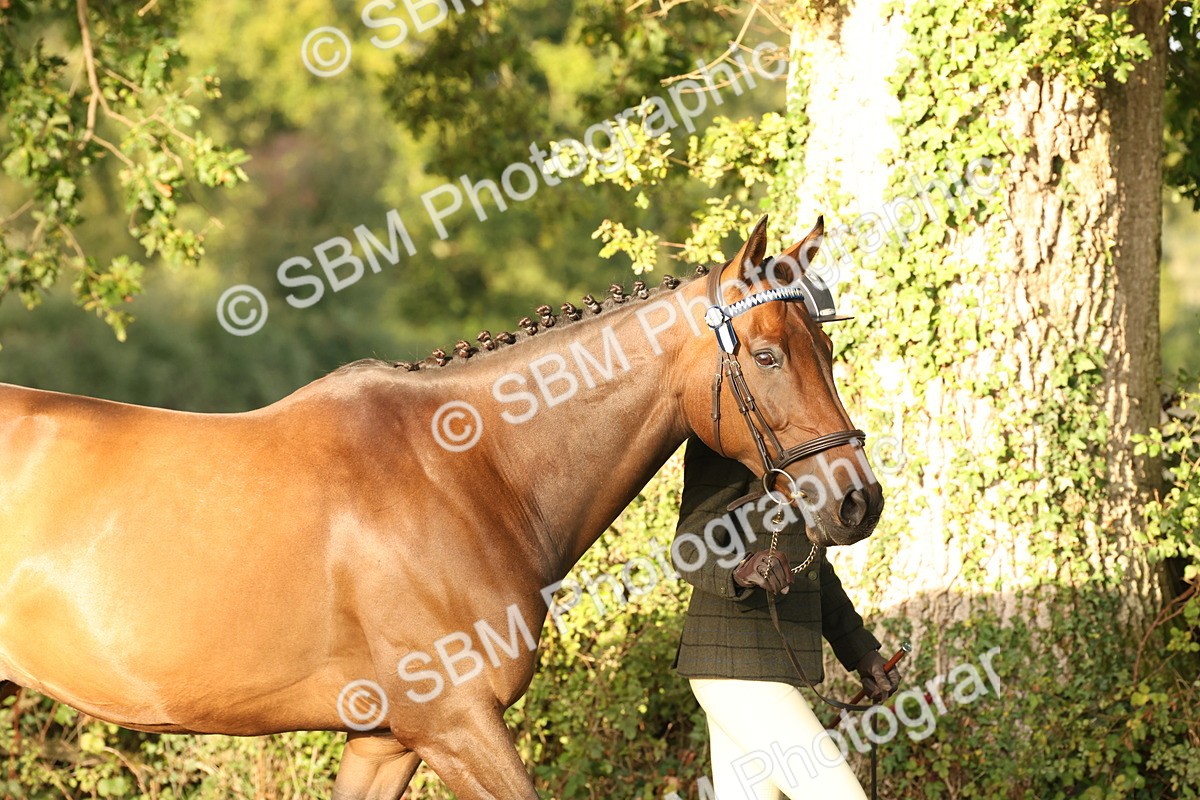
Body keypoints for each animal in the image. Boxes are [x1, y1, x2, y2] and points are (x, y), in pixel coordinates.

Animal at [0, 216, 883, 799]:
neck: (465, 470)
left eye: (826, 349)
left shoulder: (385, 742)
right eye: (767, 356)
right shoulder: (458, 726)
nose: (858, 502)